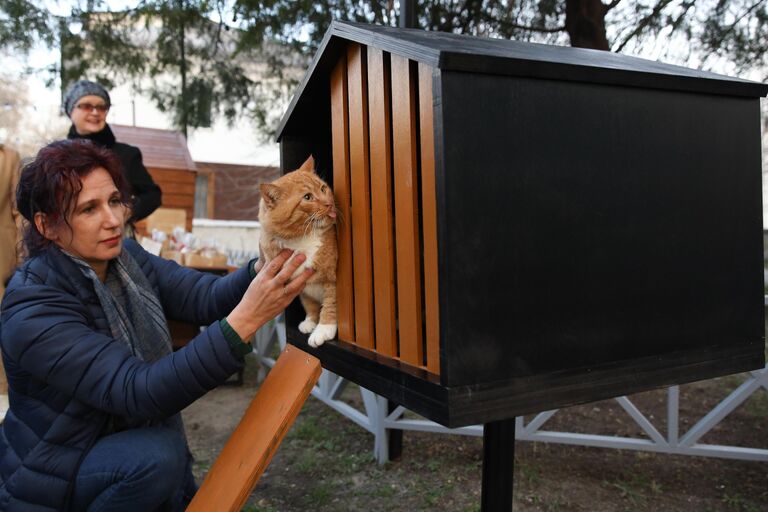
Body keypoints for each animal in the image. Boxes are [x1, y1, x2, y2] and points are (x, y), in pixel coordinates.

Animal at [258, 156, 336, 348]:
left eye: (323, 188)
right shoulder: (302, 288)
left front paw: (323, 329)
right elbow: (310, 305)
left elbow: (331, 303)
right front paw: (310, 322)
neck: (301, 239)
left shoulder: (333, 279)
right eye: (307, 197)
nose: (329, 203)